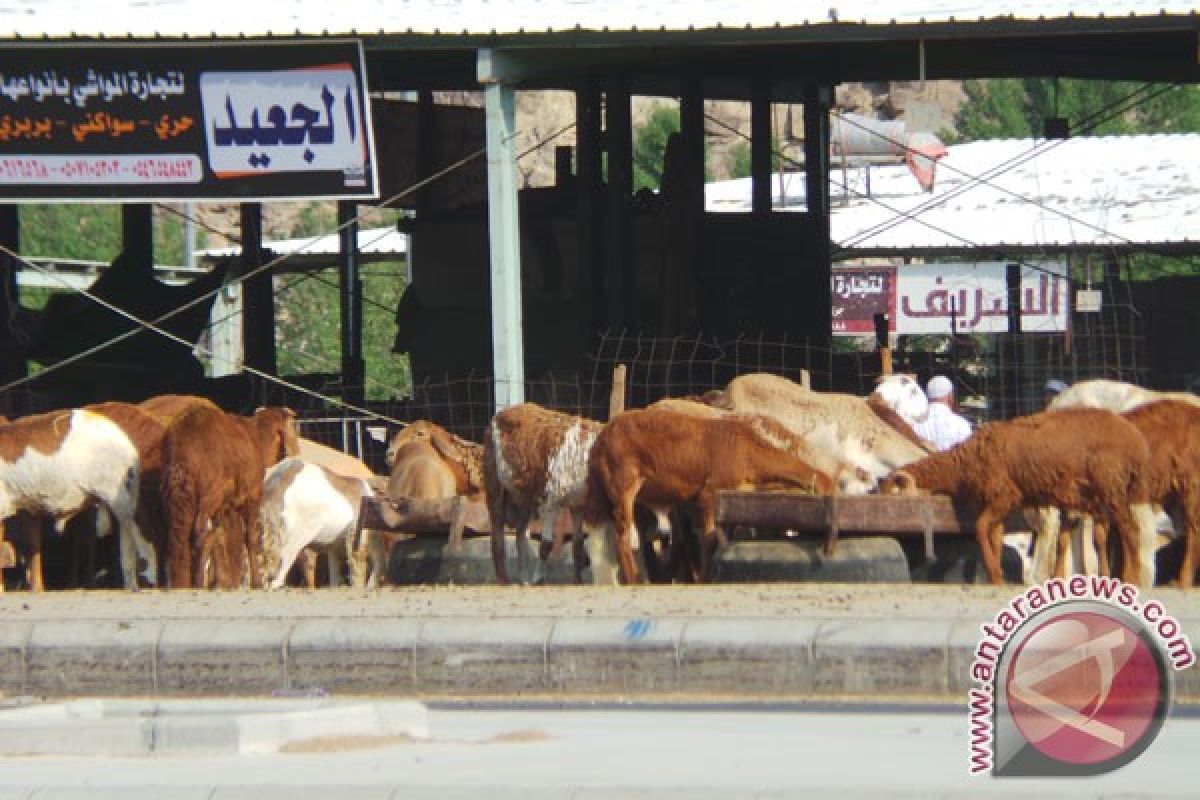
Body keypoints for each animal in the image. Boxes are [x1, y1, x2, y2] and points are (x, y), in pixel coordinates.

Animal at [580, 410, 835, 585]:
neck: (750, 456)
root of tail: (599, 441)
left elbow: (708, 539)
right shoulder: (709, 493)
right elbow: (709, 539)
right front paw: (704, 579)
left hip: (609, 492)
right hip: (622, 484)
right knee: (621, 536)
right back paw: (635, 580)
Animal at [878, 407, 1156, 587]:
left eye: (894, 496)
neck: (963, 464)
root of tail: (1138, 444)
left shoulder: (1005, 495)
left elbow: (980, 528)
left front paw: (994, 574)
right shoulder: (998, 503)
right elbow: (995, 536)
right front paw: (997, 576)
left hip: (1111, 488)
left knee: (1131, 531)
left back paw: (1131, 580)